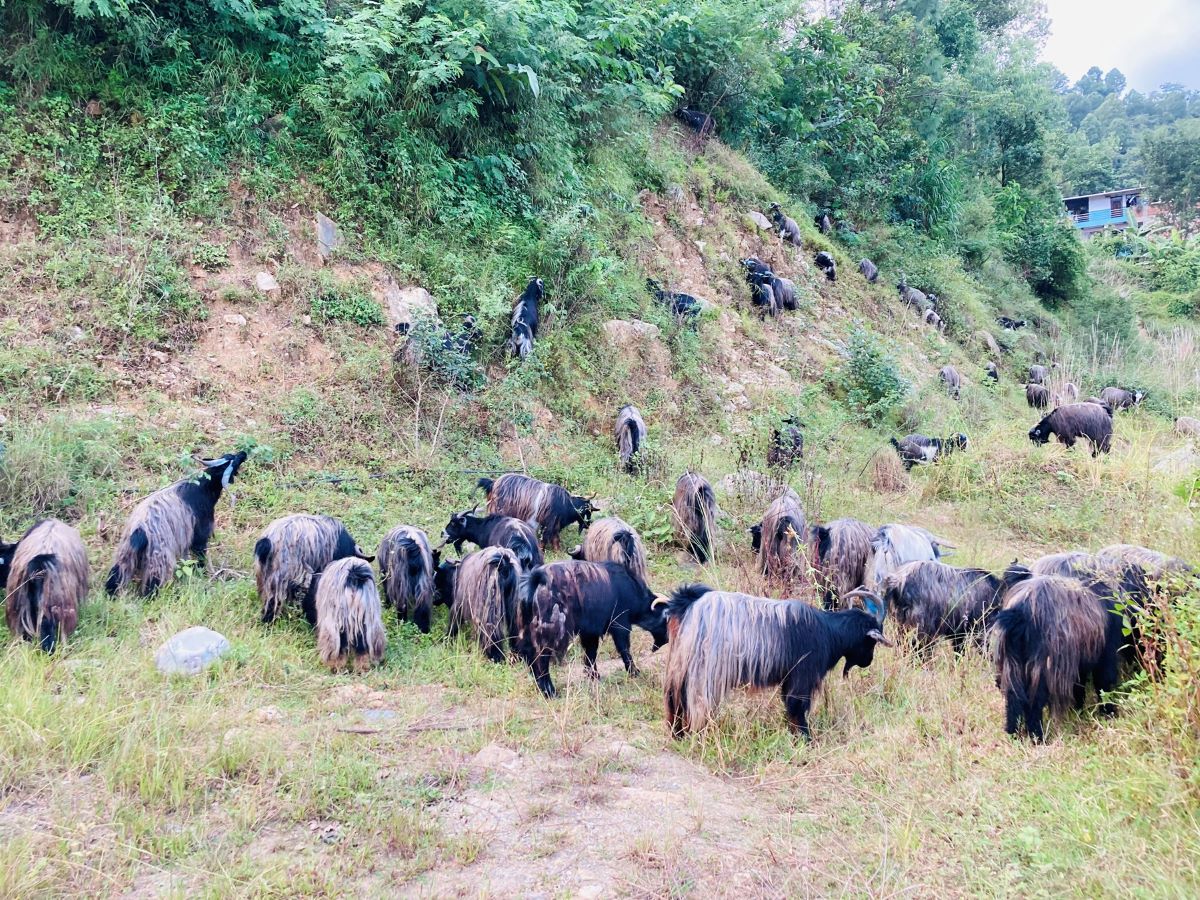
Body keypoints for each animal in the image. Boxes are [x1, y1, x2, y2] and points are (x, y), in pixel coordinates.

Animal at [106, 451, 247, 600]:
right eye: (234, 461)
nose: (243, 453)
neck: (202, 487)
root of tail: (140, 530)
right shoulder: (200, 531)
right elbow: (200, 553)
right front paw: (202, 573)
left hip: (126, 553)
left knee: (116, 574)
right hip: (158, 559)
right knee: (152, 585)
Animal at [518, 561, 667, 700]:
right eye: (666, 619)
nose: (665, 642)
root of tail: (536, 582)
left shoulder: (590, 632)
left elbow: (591, 652)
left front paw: (593, 675)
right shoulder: (619, 625)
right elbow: (624, 649)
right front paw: (634, 672)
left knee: (530, 657)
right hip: (550, 633)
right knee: (541, 658)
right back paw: (550, 692)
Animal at [662, 585, 888, 739]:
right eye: (871, 641)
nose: (868, 662)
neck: (829, 632)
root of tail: (688, 605)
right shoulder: (802, 676)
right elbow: (797, 707)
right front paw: (806, 740)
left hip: (680, 665)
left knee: (674, 698)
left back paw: (677, 734)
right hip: (703, 671)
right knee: (695, 702)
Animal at [993, 573, 1123, 744]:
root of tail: (1019, 612)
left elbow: (1079, 686)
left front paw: (1079, 710)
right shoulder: (1106, 654)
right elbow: (1103, 683)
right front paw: (1108, 713)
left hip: (1013, 662)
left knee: (1013, 698)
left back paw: (1013, 735)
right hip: (1043, 665)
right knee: (1034, 701)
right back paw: (1038, 737)